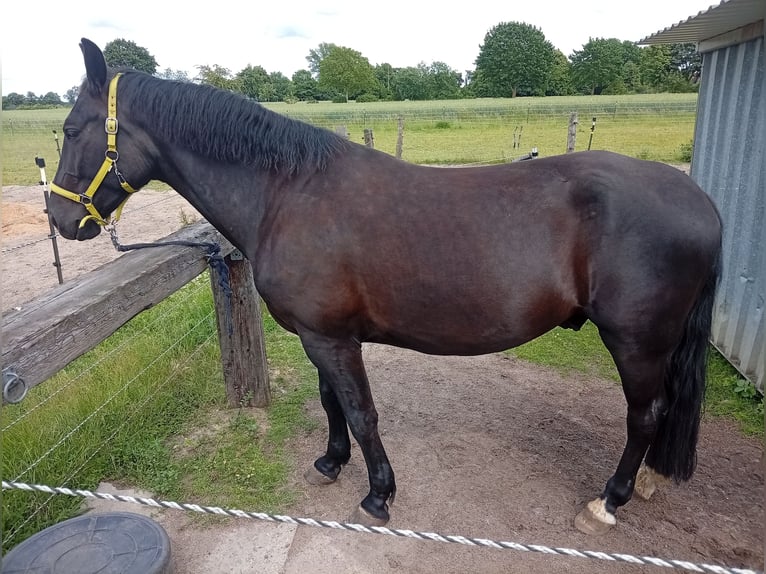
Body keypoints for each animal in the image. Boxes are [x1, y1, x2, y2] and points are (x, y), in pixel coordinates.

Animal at [48, 38, 722, 534]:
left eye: (72, 128)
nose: (60, 218)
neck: (287, 194)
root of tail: (700, 199)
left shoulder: (332, 339)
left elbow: (362, 411)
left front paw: (378, 495)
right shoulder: (322, 335)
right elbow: (333, 404)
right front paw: (330, 462)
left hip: (636, 342)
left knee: (644, 415)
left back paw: (608, 501)